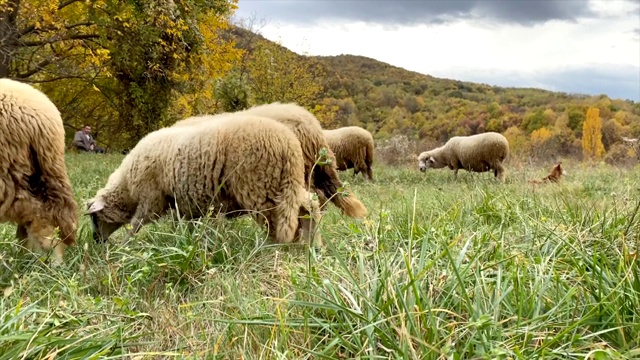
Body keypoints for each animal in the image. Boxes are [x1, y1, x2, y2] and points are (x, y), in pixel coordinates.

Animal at [85, 114, 322, 246]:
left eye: (94, 218)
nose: (97, 243)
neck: (126, 185)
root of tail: (290, 144)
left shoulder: (151, 199)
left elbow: (136, 224)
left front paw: (125, 246)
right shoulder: (181, 202)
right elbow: (183, 225)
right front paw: (185, 241)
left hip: (260, 186)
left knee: (275, 221)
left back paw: (270, 249)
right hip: (285, 183)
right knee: (310, 205)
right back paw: (312, 245)